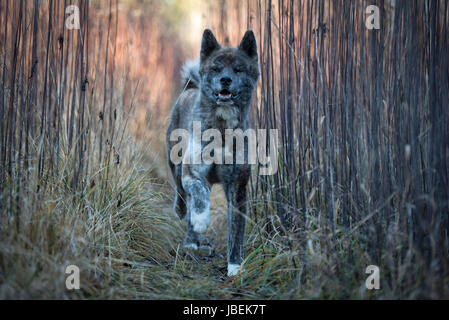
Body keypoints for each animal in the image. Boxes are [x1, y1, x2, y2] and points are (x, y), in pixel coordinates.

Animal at [166, 28, 260, 276]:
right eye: (216, 69)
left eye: (238, 69)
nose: (225, 80)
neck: (222, 130)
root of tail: (190, 87)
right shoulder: (192, 173)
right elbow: (199, 195)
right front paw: (201, 221)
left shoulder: (237, 187)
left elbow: (236, 232)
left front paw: (235, 266)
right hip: (174, 163)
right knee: (182, 195)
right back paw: (187, 228)